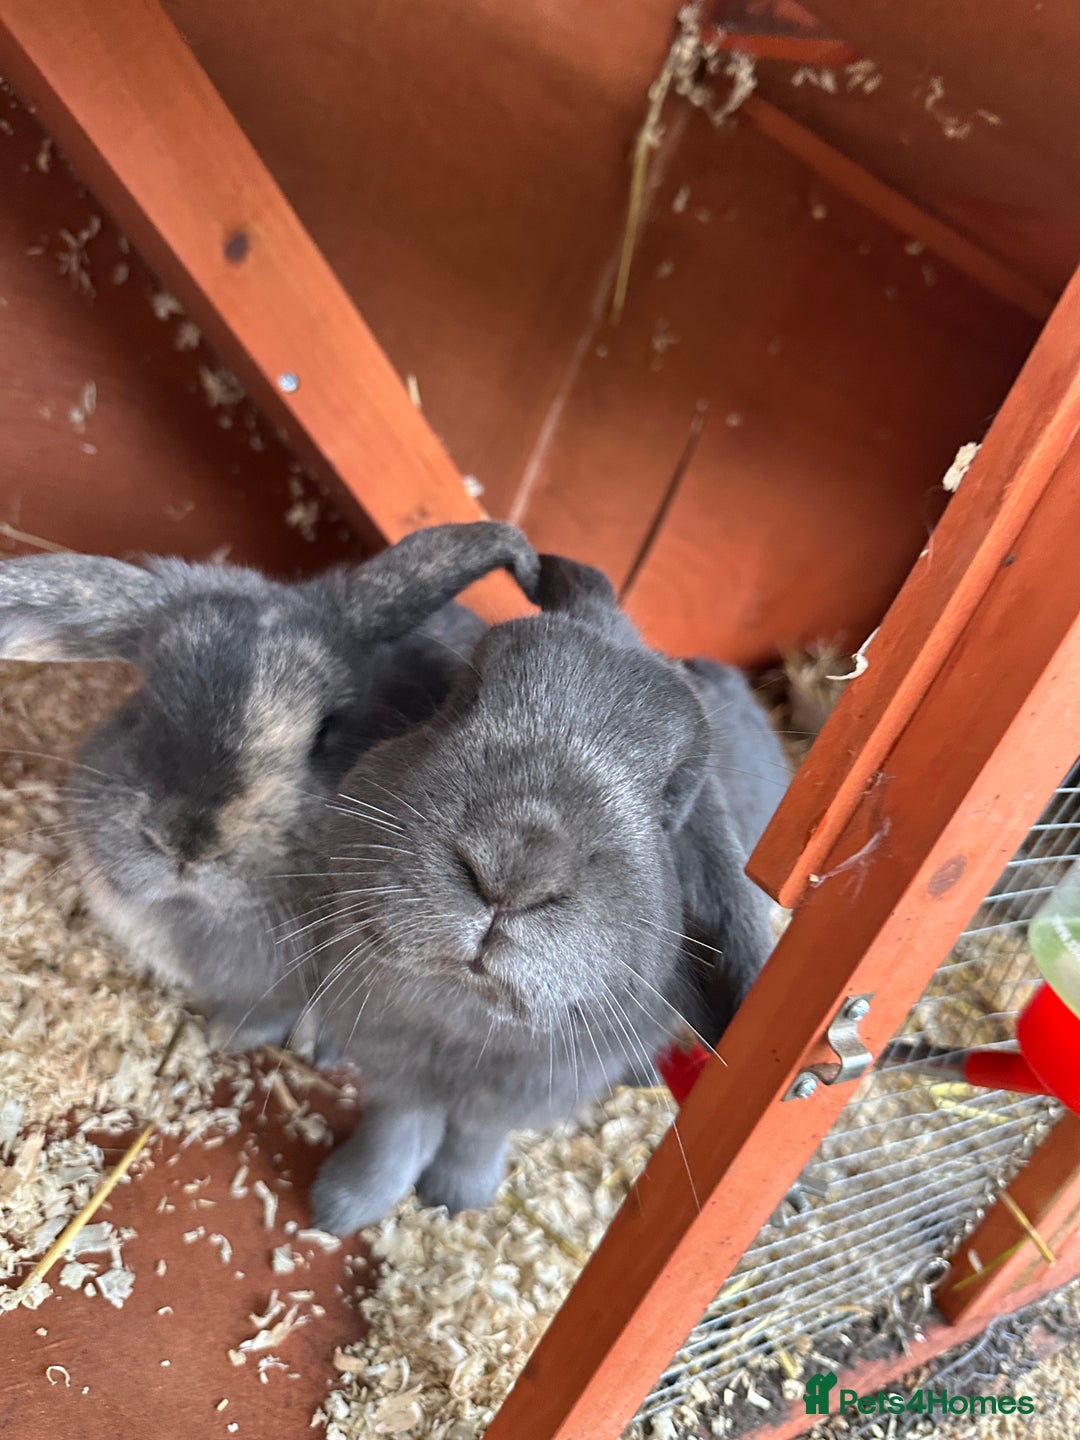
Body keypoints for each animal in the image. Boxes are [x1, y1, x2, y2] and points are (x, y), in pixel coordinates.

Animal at [309, 552, 790, 1233]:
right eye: (466, 694)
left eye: (673, 791)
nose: (515, 871)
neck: (466, 1011)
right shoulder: (394, 1063)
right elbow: (397, 1128)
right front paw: (342, 1206)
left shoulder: (519, 1094)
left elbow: (475, 1134)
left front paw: (458, 1196)